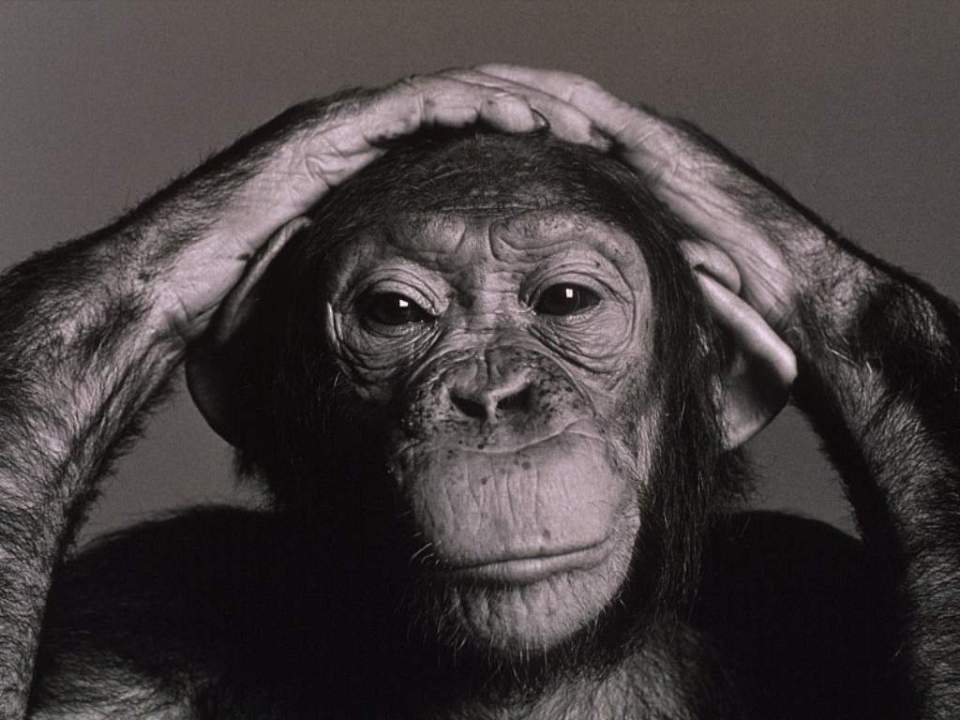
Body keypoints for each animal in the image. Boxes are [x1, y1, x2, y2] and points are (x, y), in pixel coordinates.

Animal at [0, 66, 958, 719]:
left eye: (566, 301)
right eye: (394, 313)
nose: (493, 397)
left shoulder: (806, 582)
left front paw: (704, 182)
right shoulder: (122, 633)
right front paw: (311, 145)